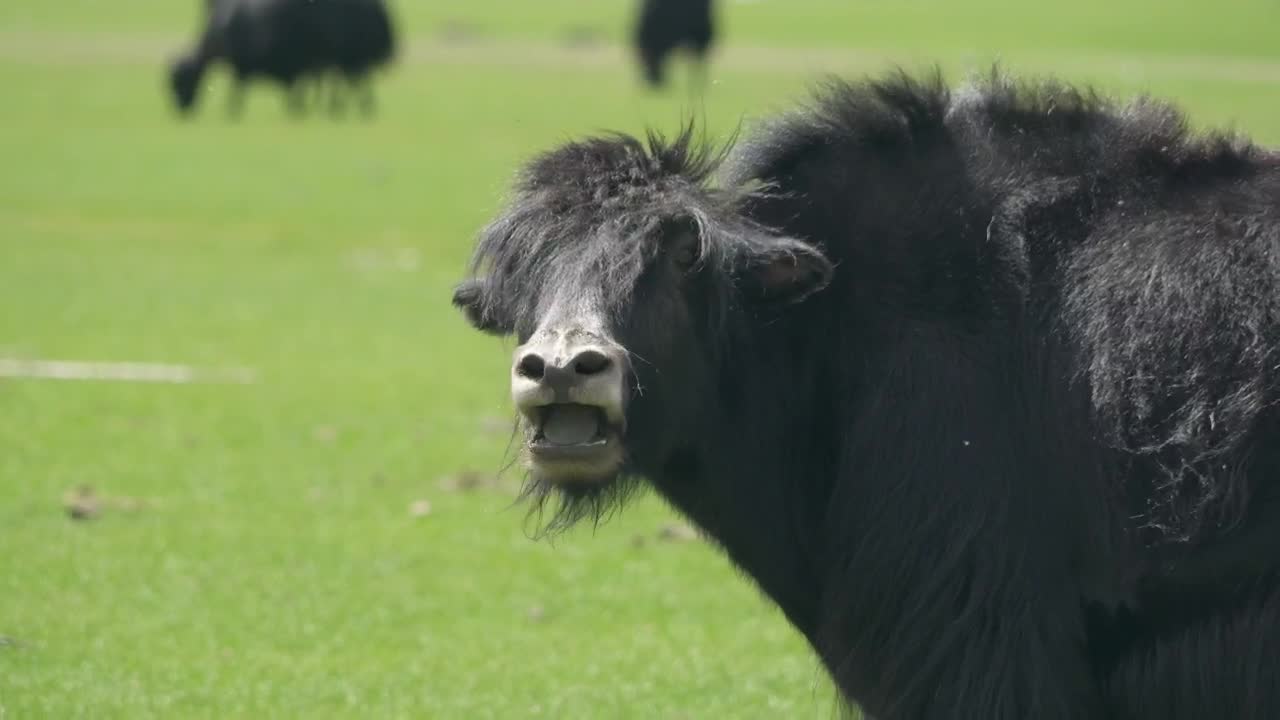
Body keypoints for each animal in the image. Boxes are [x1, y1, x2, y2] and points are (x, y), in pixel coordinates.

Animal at [169, 0, 396, 117]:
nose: (181, 111)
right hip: (342, 62)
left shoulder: (247, 67)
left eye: (180, 81)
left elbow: (238, 91)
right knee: (349, 84)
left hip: (348, 61)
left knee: (354, 84)